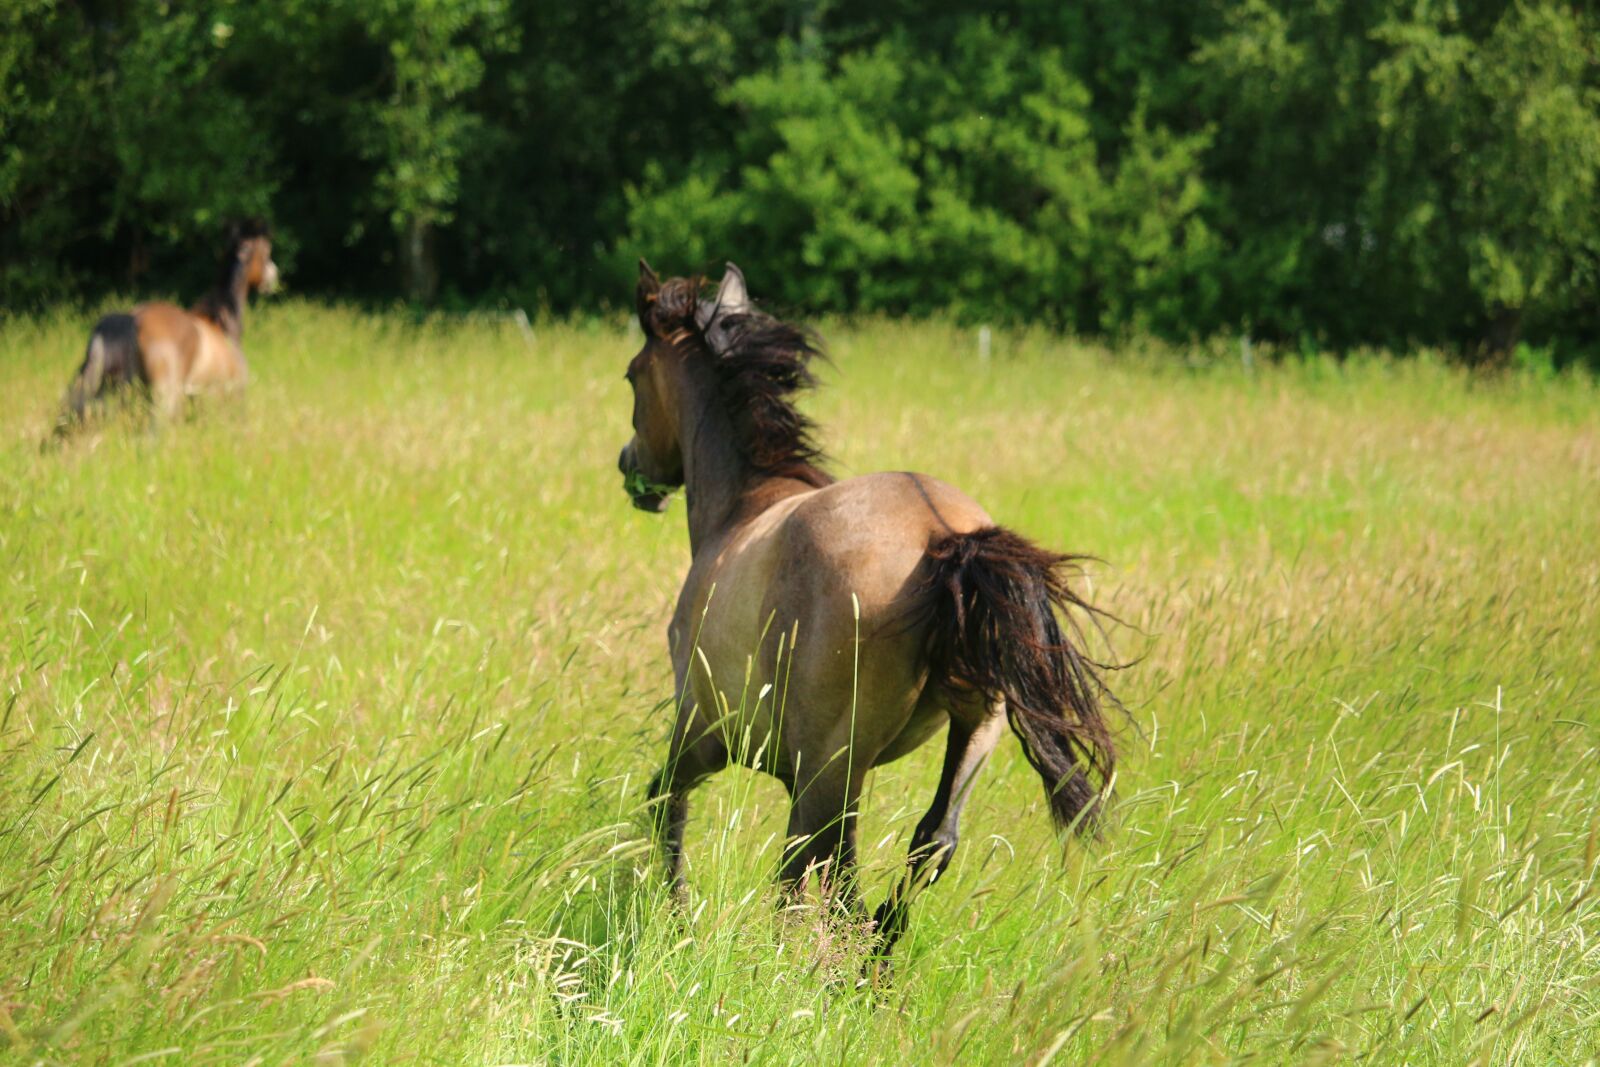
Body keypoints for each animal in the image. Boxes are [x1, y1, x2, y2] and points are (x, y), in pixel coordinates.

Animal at [52, 221, 279, 436]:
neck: (222, 324)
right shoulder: (229, 394)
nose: (273, 276)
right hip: (163, 397)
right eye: (265, 250)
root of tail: (133, 318)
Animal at [617, 261, 1123, 966]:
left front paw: (676, 915)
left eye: (633, 375)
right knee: (927, 844)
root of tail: (945, 538)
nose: (630, 467)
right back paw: (873, 965)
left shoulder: (705, 732)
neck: (740, 511)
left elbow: (668, 804)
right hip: (974, 731)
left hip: (835, 766)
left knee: (834, 874)